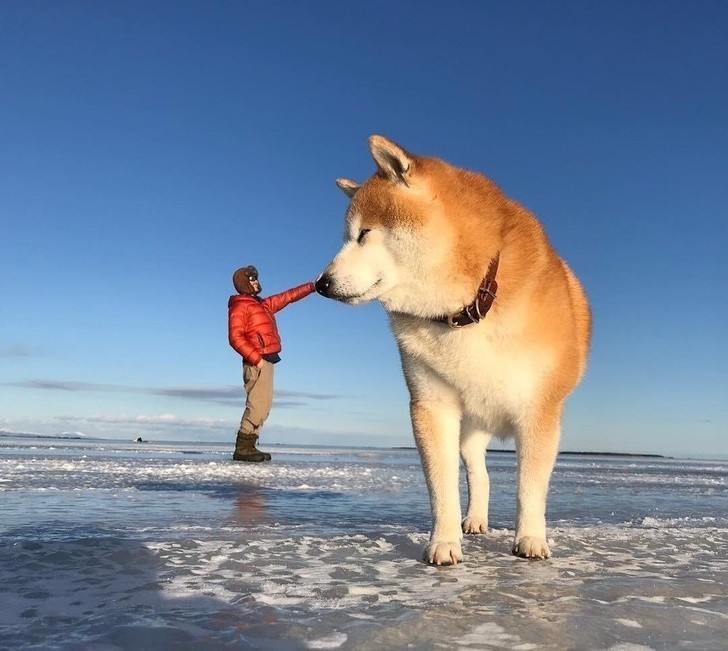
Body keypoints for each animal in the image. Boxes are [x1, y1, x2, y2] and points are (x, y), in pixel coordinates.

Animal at [318, 134, 592, 564]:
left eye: (363, 233)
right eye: (350, 235)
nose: (321, 284)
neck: (470, 309)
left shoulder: (539, 409)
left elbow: (530, 486)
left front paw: (531, 538)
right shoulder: (432, 405)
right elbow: (441, 485)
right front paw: (443, 542)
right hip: (470, 429)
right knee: (479, 474)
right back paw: (474, 520)